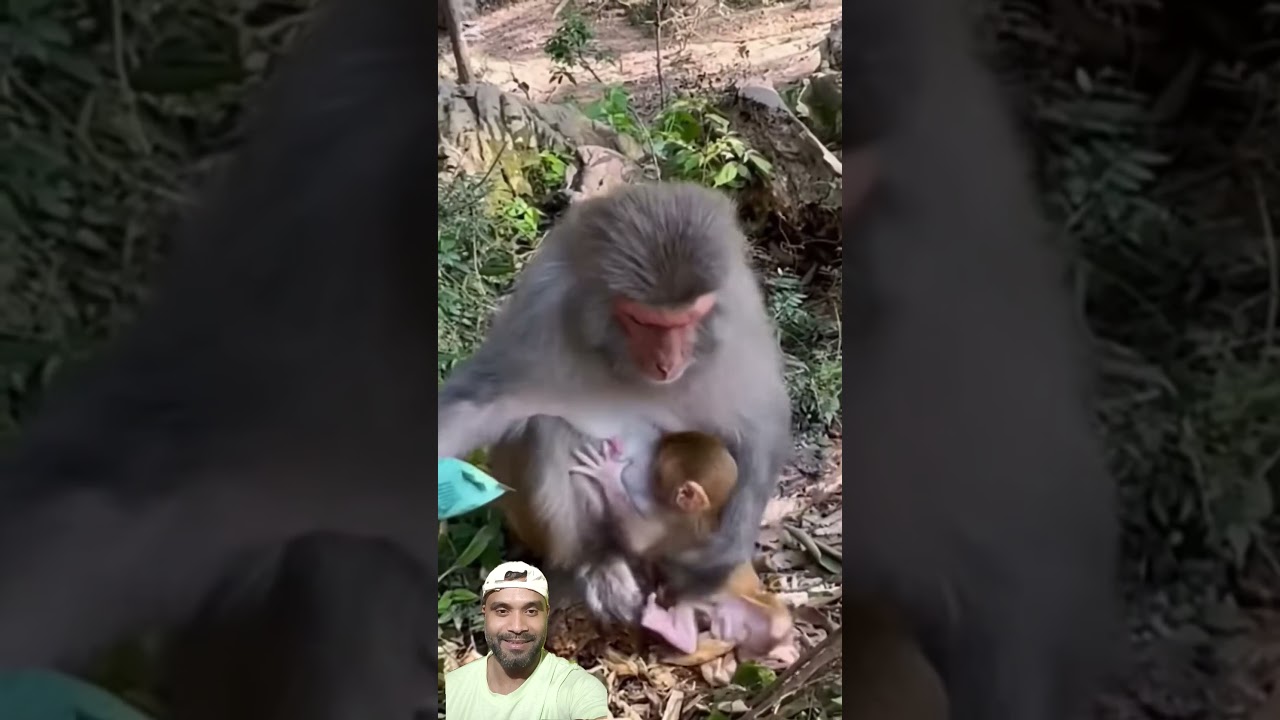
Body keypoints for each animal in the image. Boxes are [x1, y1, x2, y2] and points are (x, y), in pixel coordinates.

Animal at [438, 182, 793, 626]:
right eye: (643, 320)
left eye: (688, 319)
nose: (667, 362)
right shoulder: (541, 308)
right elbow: (483, 401)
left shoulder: (737, 312)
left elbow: (762, 419)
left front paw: (723, 555)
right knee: (546, 428)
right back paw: (597, 559)